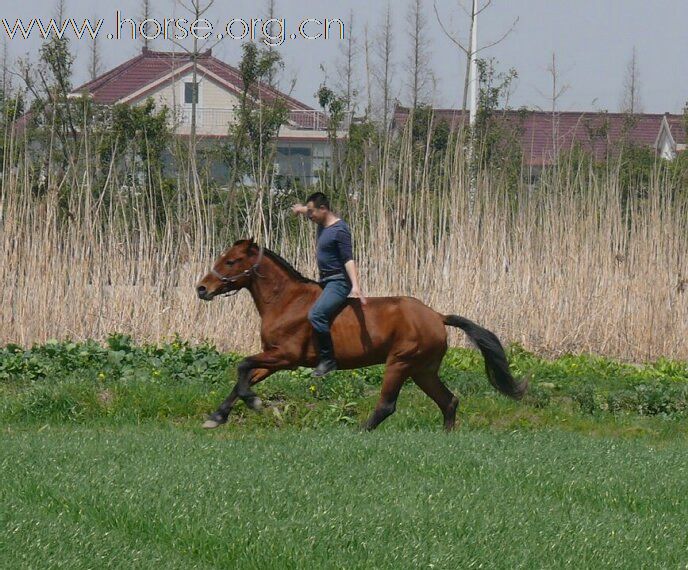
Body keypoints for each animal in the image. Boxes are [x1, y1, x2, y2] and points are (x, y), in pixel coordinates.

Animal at [196, 237, 528, 428]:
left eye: (231, 260)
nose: (202, 289)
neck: (285, 300)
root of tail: (436, 316)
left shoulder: (285, 357)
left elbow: (242, 366)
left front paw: (253, 403)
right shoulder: (273, 358)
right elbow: (244, 377)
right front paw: (218, 416)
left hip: (400, 363)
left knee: (387, 405)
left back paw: (360, 432)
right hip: (423, 370)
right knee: (448, 401)